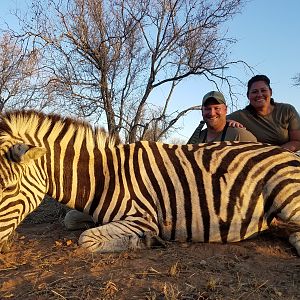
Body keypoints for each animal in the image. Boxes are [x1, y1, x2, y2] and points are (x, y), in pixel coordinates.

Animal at [0, 110, 298, 255]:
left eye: (8, 188)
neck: (104, 177)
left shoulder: (143, 217)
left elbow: (87, 238)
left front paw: (146, 242)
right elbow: (72, 220)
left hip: (286, 196)